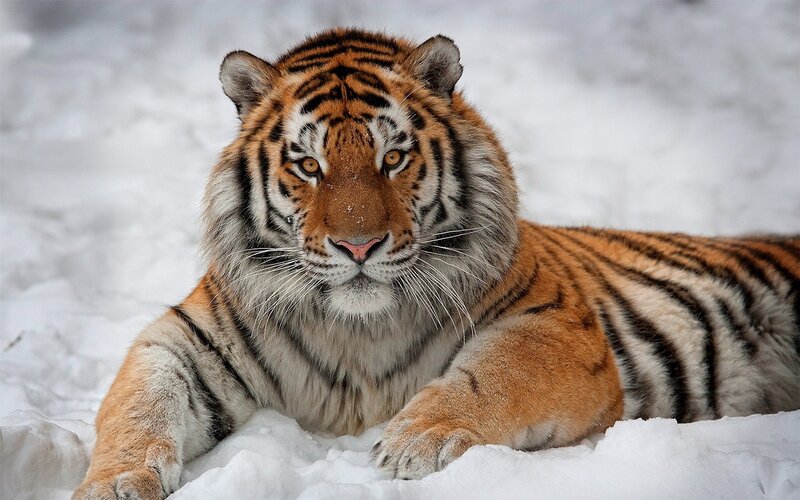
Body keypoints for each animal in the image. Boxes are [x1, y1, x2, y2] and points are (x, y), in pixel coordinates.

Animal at [74, 28, 800, 499]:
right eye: (308, 165)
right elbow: (138, 409)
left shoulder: (556, 326)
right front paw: (112, 484)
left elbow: (491, 377)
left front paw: (413, 441)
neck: (357, 329)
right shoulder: (183, 340)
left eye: (393, 157)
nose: (358, 247)